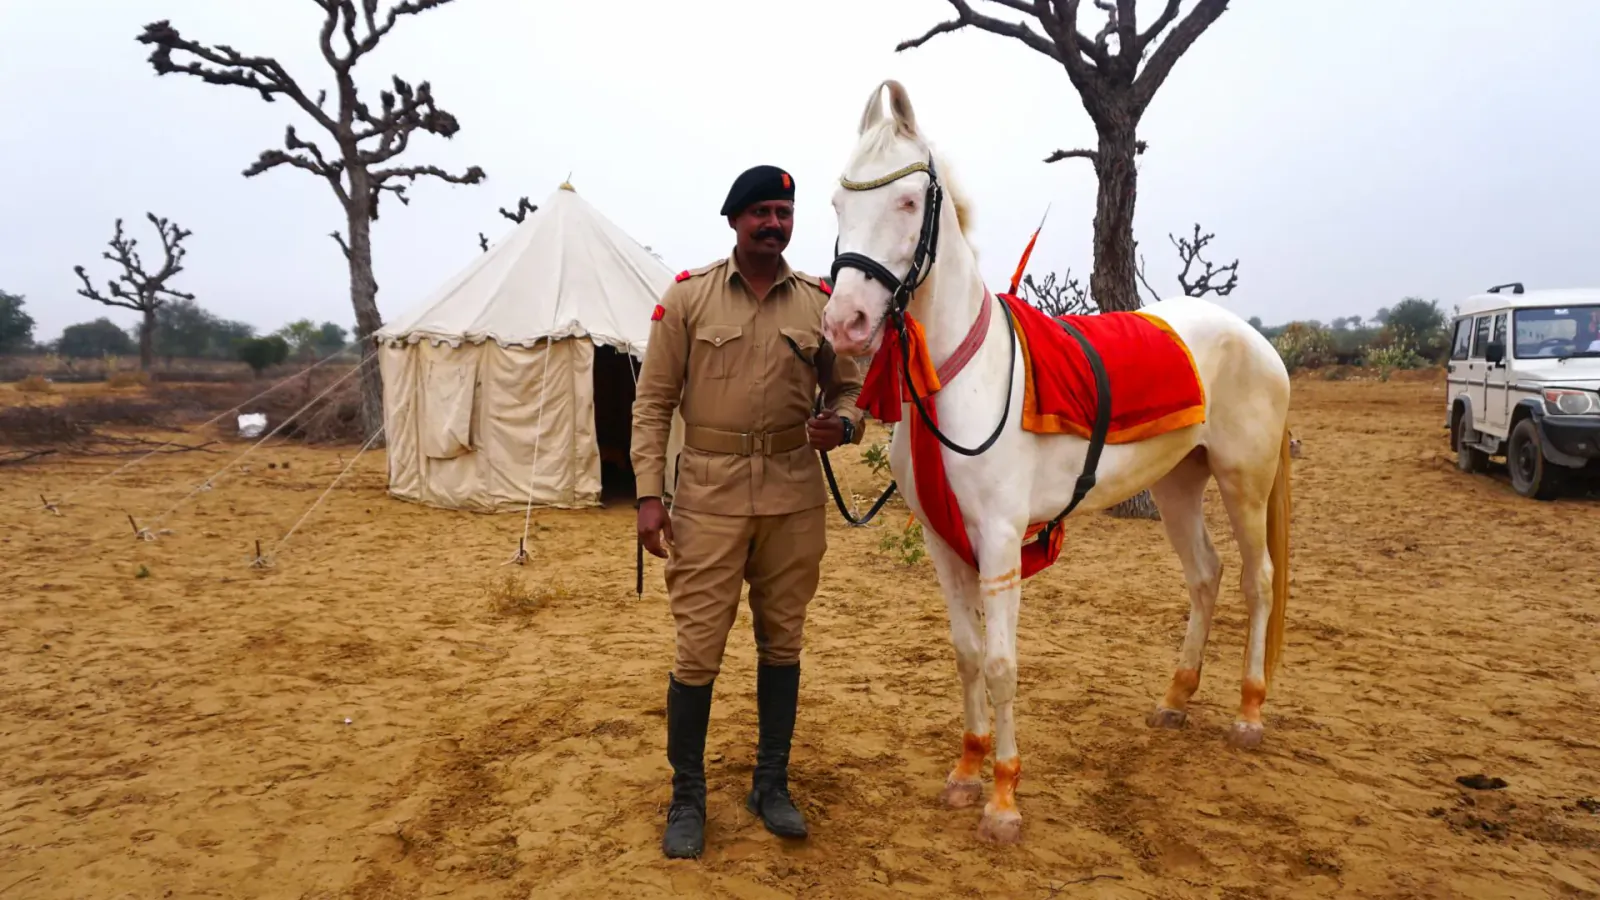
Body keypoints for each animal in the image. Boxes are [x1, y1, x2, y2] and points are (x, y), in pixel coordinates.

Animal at [818, 80, 1293, 845]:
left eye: (909, 202)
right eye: (837, 203)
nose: (846, 324)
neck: (956, 377)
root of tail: (1254, 339)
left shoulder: (1000, 542)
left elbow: (1003, 664)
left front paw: (1004, 800)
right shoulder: (943, 542)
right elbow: (966, 655)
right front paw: (966, 770)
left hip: (1243, 483)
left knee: (1258, 582)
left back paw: (1248, 713)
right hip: (1177, 485)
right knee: (1206, 576)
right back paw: (1175, 698)